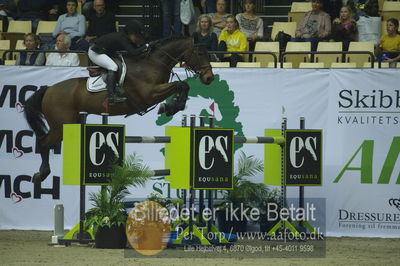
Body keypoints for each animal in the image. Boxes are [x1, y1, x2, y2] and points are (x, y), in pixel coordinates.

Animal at [23, 36, 214, 183]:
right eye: (199, 53)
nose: (209, 78)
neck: (153, 63)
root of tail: (49, 89)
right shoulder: (148, 94)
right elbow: (180, 84)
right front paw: (168, 106)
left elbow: (182, 86)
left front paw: (173, 106)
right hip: (60, 125)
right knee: (43, 142)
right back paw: (41, 174)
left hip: (72, 123)